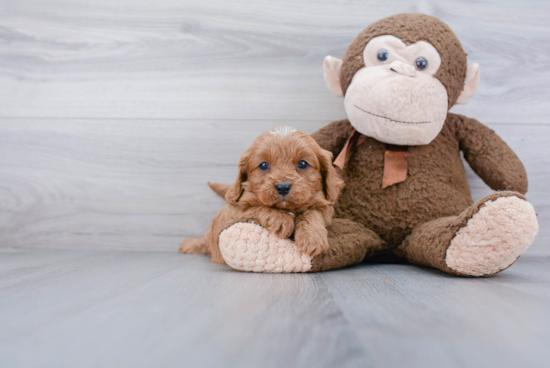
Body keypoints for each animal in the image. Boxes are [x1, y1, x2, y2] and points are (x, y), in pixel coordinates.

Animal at [181, 126, 344, 264]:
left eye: (303, 164)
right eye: (264, 165)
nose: (283, 187)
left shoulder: (325, 205)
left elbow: (312, 211)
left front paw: (312, 237)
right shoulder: (231, 212)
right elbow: (255, 206)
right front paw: (281, 219)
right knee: (206, 240)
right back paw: (189, 245)